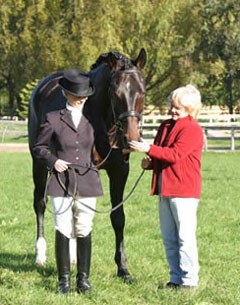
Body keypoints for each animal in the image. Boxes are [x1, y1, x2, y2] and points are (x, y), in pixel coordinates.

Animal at [29, 48, 147, 282]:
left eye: (143, 92)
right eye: (116, 93)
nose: (131, 138)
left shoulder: (120, 171)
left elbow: (118, 217)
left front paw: (123, 269)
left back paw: (73, 255)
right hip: (39, 163)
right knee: (40, 204)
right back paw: (40, 255)